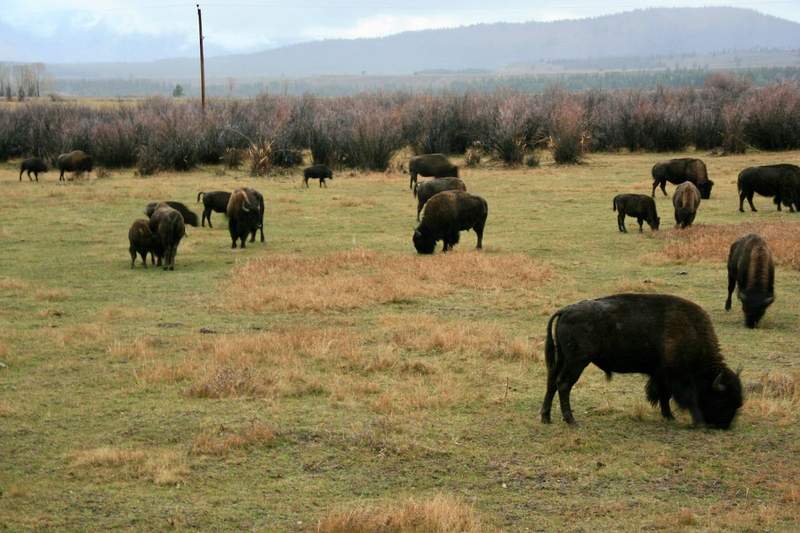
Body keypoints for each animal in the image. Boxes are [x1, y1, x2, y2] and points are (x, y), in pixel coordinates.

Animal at [541, 293, 743, 429]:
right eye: (722, 399)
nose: (724, 425)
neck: (691, 332)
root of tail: (565, 311)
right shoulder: (678, 377)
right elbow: (686, 397)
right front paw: (698, 422)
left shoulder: (661, 375)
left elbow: (663, 395)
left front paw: (669, 416)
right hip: (577, 362)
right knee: (563, 384)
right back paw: (571, 421)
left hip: (562, 359)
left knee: (552, 382)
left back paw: (546, 418)